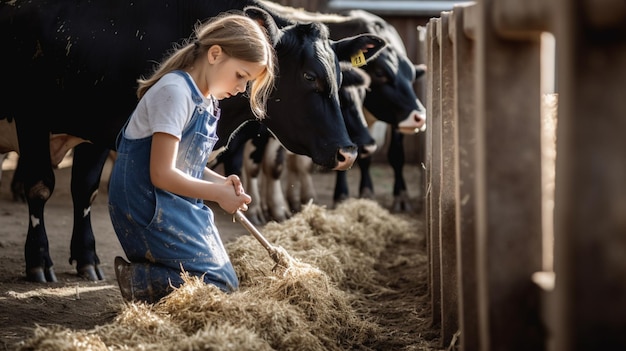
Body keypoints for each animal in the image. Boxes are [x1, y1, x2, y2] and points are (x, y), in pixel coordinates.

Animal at [0, 0, 382, 284]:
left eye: (338, 75)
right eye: (309, 76)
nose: (348, 152)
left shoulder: (94, 128)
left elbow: (86, 189)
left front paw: (87, 259)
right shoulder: (33, 115)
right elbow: (40, 186)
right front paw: (39, 261)